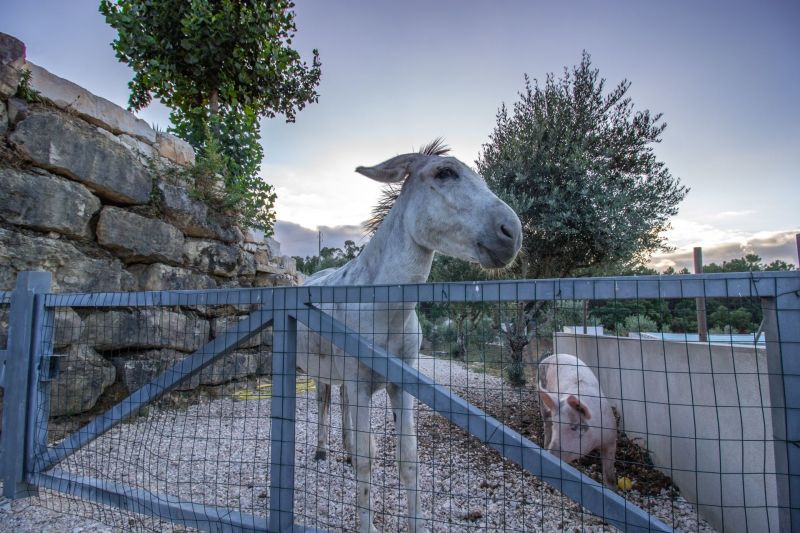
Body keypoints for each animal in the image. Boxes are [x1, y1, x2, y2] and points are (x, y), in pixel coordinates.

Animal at [536, 354, 620, 486]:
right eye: (556, 425)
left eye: (573, 427)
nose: (551, 456)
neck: (594, 440)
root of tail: (551, 356)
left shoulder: (611, 436)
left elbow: (609, 474)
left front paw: (611, 488)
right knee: (546, 423)